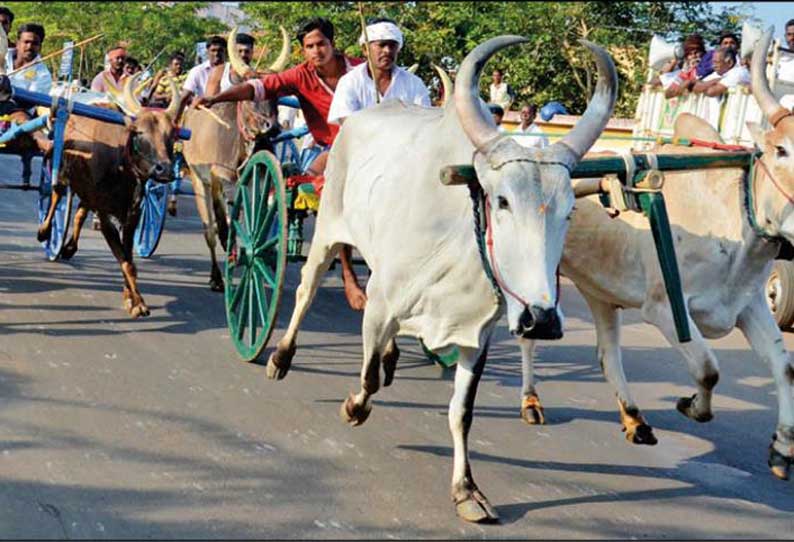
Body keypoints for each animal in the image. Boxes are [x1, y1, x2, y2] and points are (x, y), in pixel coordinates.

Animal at [260, 36, 620, 524]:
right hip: (329, 227)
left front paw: (466, 490)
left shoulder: (477, 333)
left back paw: (391, 356)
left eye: (569, 211)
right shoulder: (379, 304)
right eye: (501, 201)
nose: (541, 319)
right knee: (305, 289)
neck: (459, 242)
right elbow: (367, 380)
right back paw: (280, 356)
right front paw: (353, 407)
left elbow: (461, 412)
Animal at [516, 27, 794, 482]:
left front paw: (782, 448)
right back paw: (530, 401)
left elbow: (782, 366)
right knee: (527, 338)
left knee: (607, 354)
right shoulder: (664, 307)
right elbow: (708, 369)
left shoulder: (749, 304)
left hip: (599, 289)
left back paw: (634, 419)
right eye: (781, 150)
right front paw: (691, 405)